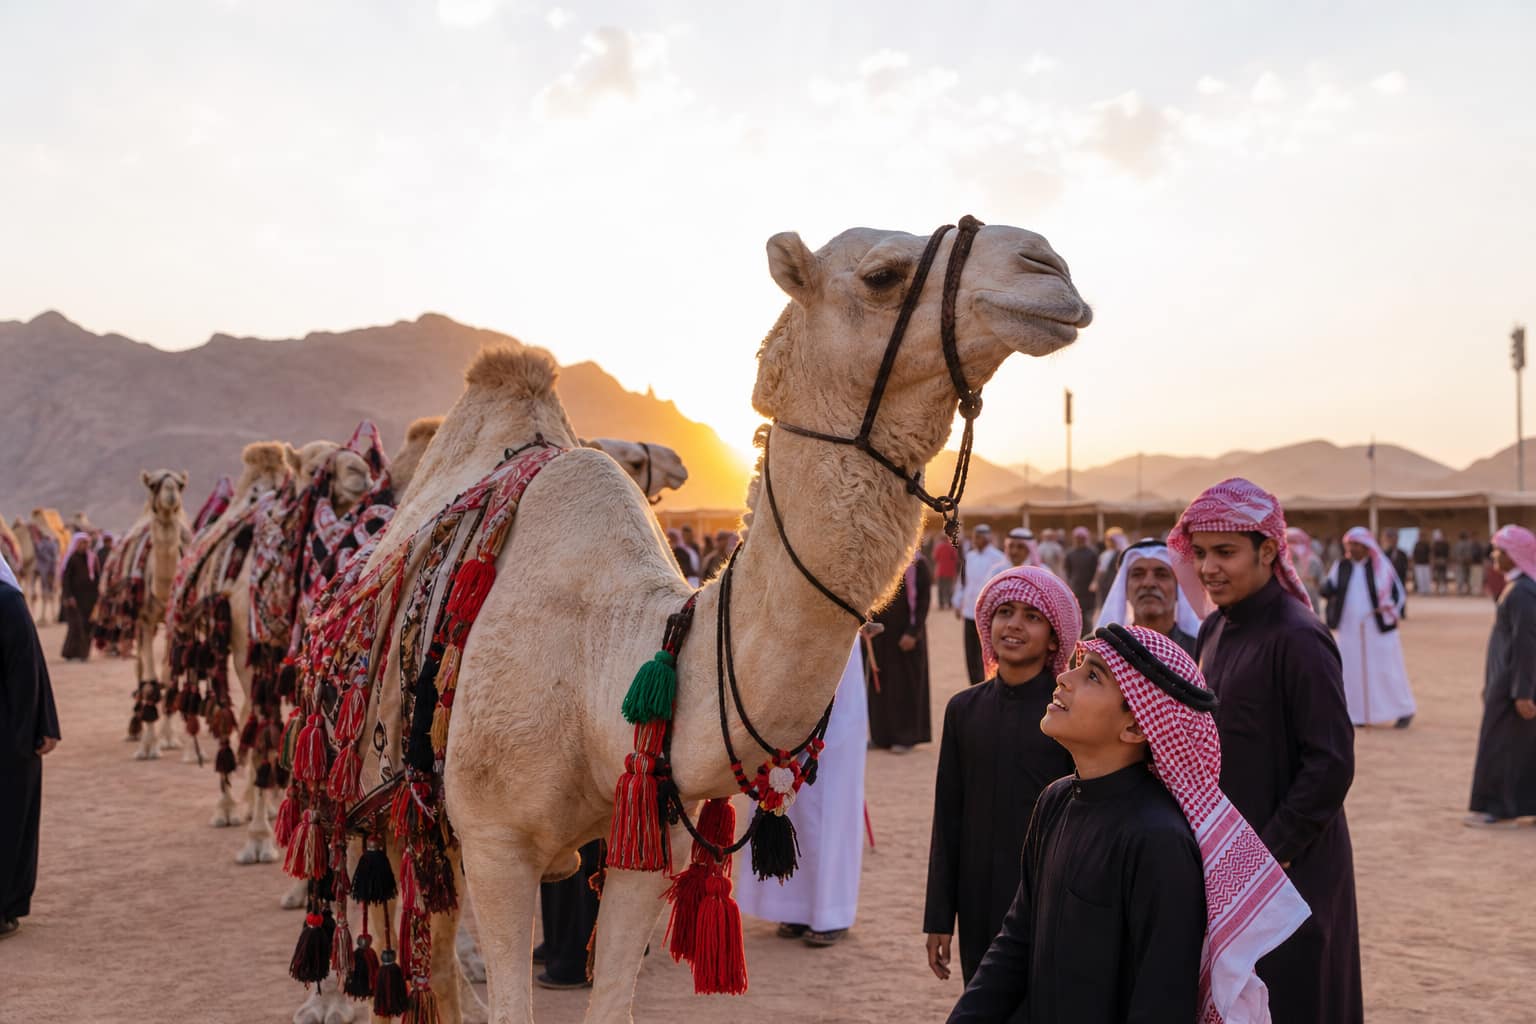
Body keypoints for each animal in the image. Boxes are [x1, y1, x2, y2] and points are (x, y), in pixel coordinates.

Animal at [309, 219, 1089, 1024]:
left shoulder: (650, 840)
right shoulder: (498, 843)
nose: (1048, 266)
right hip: (374, 792)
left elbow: (610, 1002)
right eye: (883, 275)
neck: (603, 667)